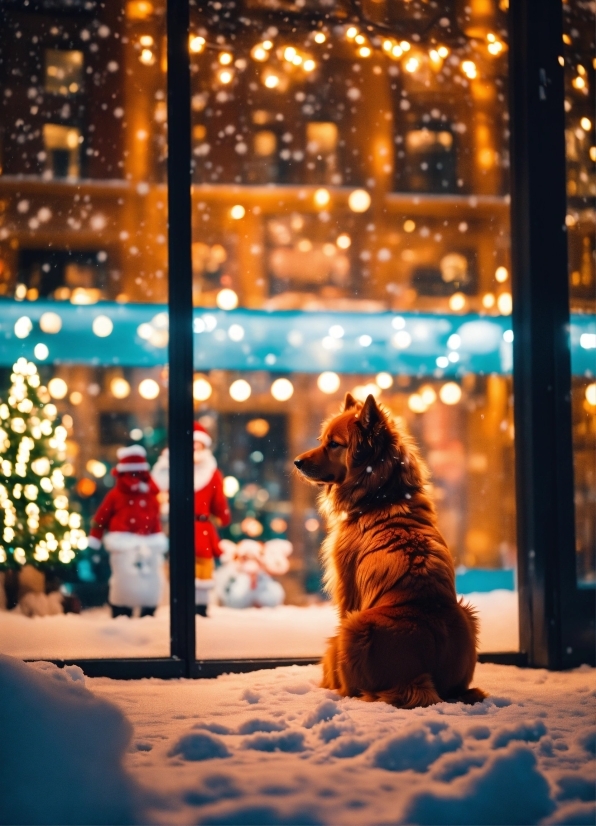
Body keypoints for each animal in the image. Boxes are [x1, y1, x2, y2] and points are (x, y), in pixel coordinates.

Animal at [294, 392, 484, 708]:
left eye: (334, 444)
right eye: (322, 439)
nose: (296, 462)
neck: (382, 494)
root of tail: (418, 676)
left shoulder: (346, 586)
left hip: (352, 627)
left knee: (351, 685)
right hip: (468, 614)